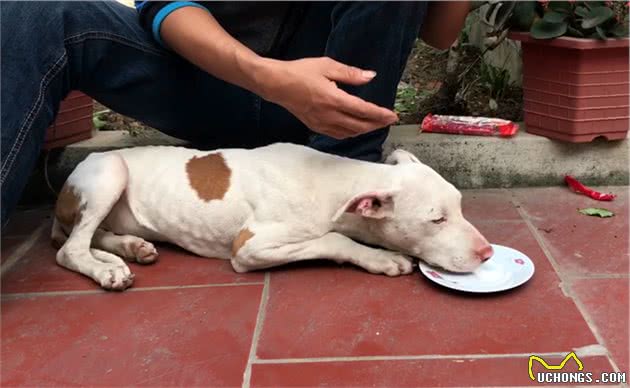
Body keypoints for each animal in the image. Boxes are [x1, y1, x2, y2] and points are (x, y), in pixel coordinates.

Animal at [51, 144, 494, 290]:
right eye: (436, 220)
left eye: (460, 207)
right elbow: (334, 239)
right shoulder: (248, 248)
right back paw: (107, 269)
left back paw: (129, 248)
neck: (332, 180)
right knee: (69, 250)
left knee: (87, 238)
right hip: (110, 172)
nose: (487, 253)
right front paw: (382, 259)